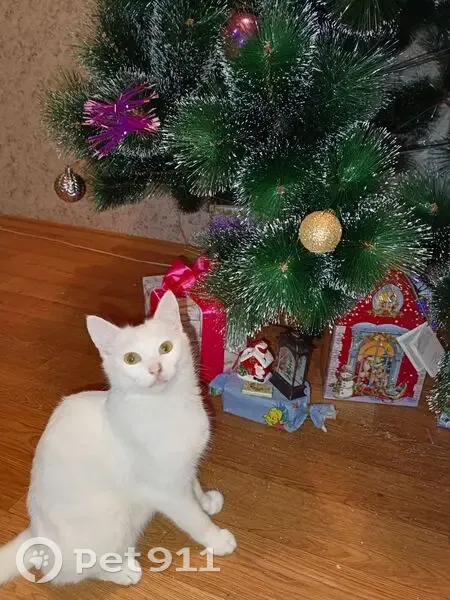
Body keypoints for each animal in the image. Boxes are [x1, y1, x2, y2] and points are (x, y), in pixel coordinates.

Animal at [0, 290, 236, 586]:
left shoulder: (184, 466)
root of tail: (37, 537)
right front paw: (216, 539)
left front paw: (206, 502)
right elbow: (192, 518)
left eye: (166, 347)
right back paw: (123, 571)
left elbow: (193, 485)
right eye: (131, 359)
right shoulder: (164, 489)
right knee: (75, 571)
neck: (167, 406)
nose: (156, 368)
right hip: (112, 520)